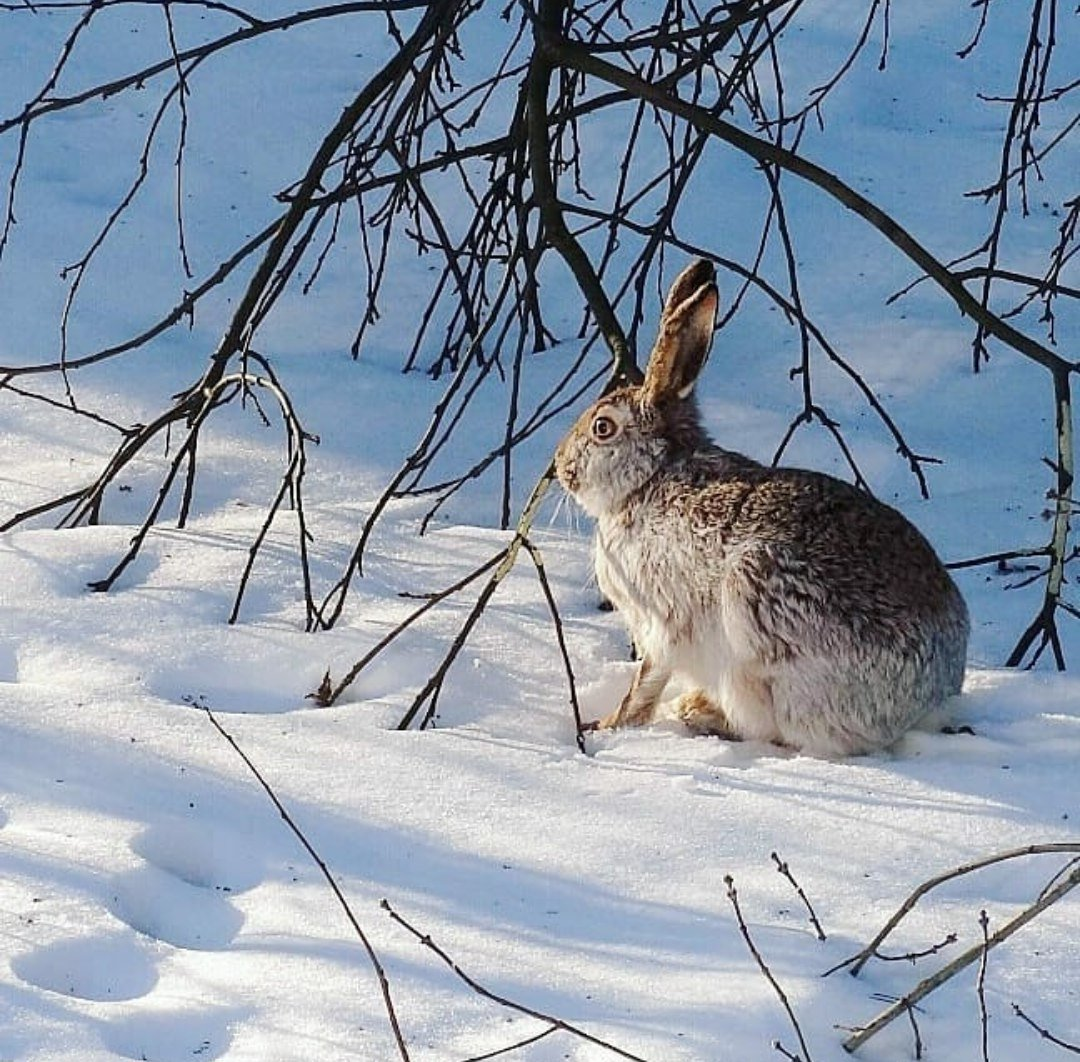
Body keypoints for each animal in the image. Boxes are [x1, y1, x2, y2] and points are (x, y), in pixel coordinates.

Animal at [557, 259, 972, 756]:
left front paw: (607, 725)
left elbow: (646, 682)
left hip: (756, 614)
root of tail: (928, 698)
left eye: (602, 428)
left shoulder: (661, 623)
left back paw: (701, 712)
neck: (650, 479)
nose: (562, 467)